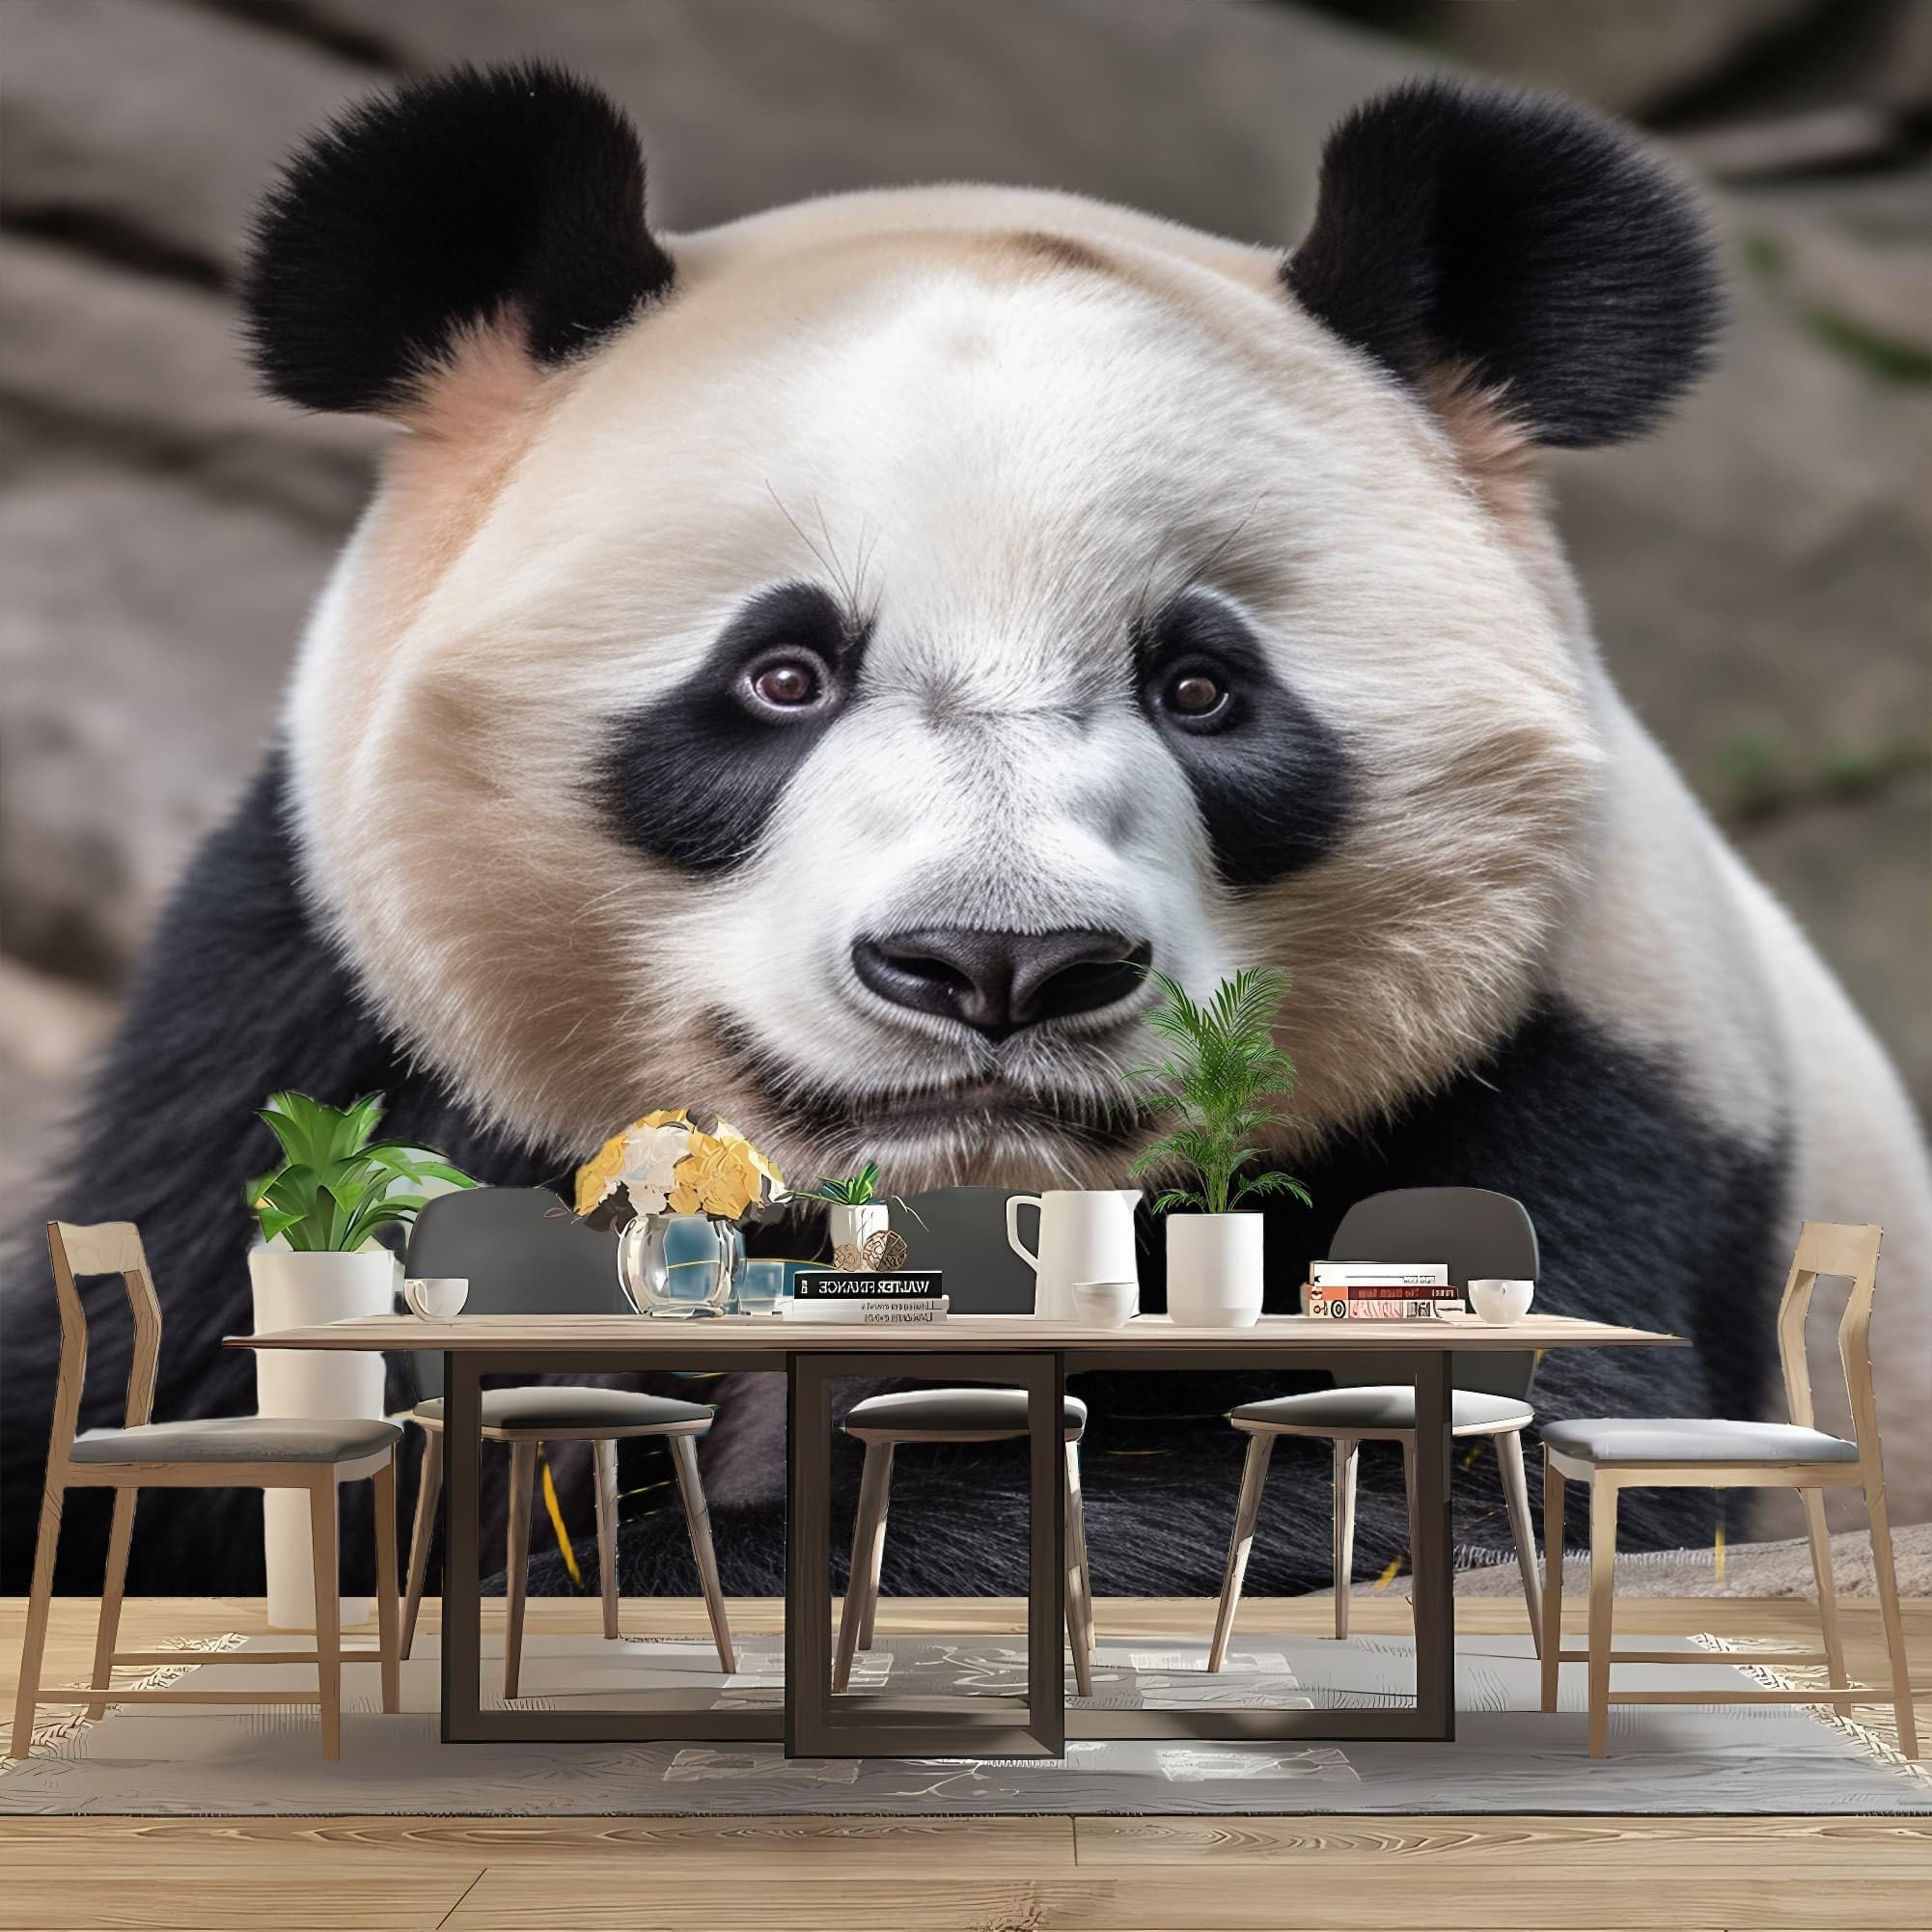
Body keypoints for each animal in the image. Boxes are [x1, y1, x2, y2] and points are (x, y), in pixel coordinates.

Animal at [7, 62, 1929, 1607]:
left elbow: (1439, 1475)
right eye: (780, 673)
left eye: (1201, 686)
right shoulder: (298, 1033)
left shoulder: (1591, 1080)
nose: (1001, 963)